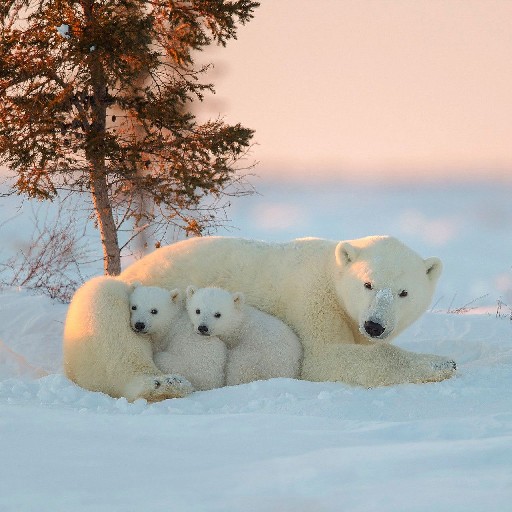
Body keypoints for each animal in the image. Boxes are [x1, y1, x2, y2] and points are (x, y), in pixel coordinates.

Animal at [63, 234, 456, 402]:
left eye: (403, 293)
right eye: (368, 283)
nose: (375, 325)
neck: (331, 270)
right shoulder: (312, 298)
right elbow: (322, 358)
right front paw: (442, 363)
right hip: (121, 301)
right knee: (103, 307)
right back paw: (163, 384)